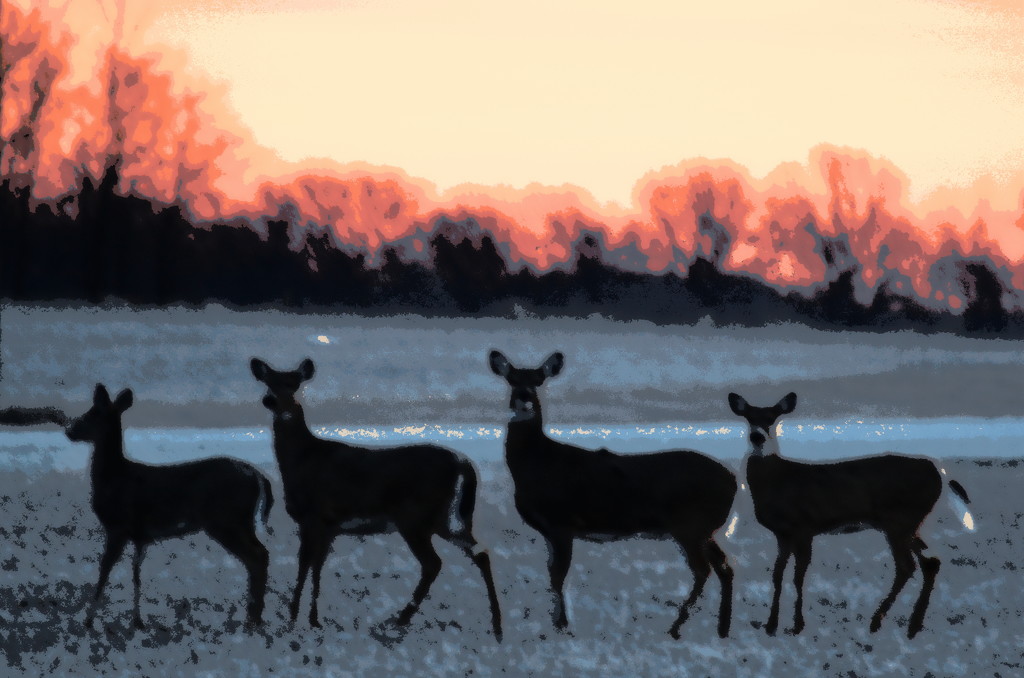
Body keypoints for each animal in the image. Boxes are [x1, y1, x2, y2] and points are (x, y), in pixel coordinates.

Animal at [65, 387, 274, 630]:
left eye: (94, 413)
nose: (70, 431)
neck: (114, 478)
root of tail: (258, 476)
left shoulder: (118, 527)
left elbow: (104, 571)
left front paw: (88, 620)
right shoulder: (140, 535)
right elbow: (136, 575)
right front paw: (137, 620)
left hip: (228, 520)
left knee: (258, 556)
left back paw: (252, 619)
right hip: (237, 521)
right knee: (260, 555)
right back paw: (253, 617)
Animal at [249, 358, 501, 639]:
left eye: (294, 383)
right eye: (268, 381)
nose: (271, 401)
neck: (302, 460)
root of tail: (464, 464)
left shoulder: (314, 517)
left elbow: (305, 565)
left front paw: (294, 618)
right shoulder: (328, 526)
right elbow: (316, 567)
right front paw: (312, 620)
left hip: (414, 518)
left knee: (434, 563)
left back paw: (400, 619)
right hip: (448, 519)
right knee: (480, 552)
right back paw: (496, 624)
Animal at [487, 352, 737, 639]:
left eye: (538, 381)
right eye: (512, 379)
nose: (524, 401)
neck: (536, 464)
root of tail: (734, 482)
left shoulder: (562, 523)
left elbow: (559, 576)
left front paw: (562, 625)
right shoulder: (550, 530)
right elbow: (551, 574)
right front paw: (555, 623)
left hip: (689, 525)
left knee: (703, 570)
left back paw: (676, 627)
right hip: (705, 529)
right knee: (725, 566)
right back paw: (722, 628)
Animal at [724, 393, 970, 643]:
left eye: (772, 418)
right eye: (748, 417)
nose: (757, 437)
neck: (778, 482)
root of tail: (941, 474)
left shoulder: (804, 526)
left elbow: (798, 576)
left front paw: (797, 625)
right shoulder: (782, 533)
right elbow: (777, 574)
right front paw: (771, 625)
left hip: (899, 521)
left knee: (906, 566)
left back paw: (877, 622)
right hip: (909, 524)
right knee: (931, 562)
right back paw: (913, 626)